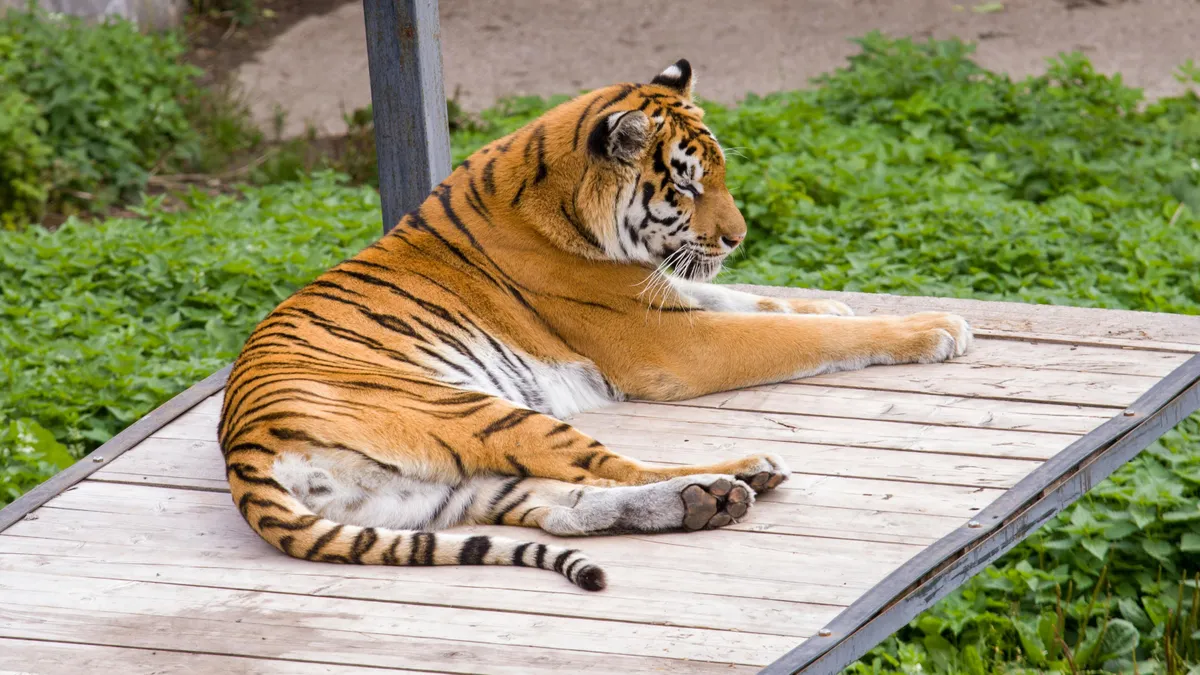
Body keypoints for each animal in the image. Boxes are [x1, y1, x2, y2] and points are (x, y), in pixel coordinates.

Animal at [218, 59, 972, 591]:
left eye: (721, 174)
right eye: (688, 185)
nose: (738, 238)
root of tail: (245, 452)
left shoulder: (668, 295)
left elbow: (758, 302)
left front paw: (836, 304)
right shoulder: (671, 340)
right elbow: (794, 336)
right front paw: (937, 328)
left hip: (445, 490)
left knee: (565, 504)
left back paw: (704, 500)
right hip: (476, 410)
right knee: (614, 468)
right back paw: (744, 472)